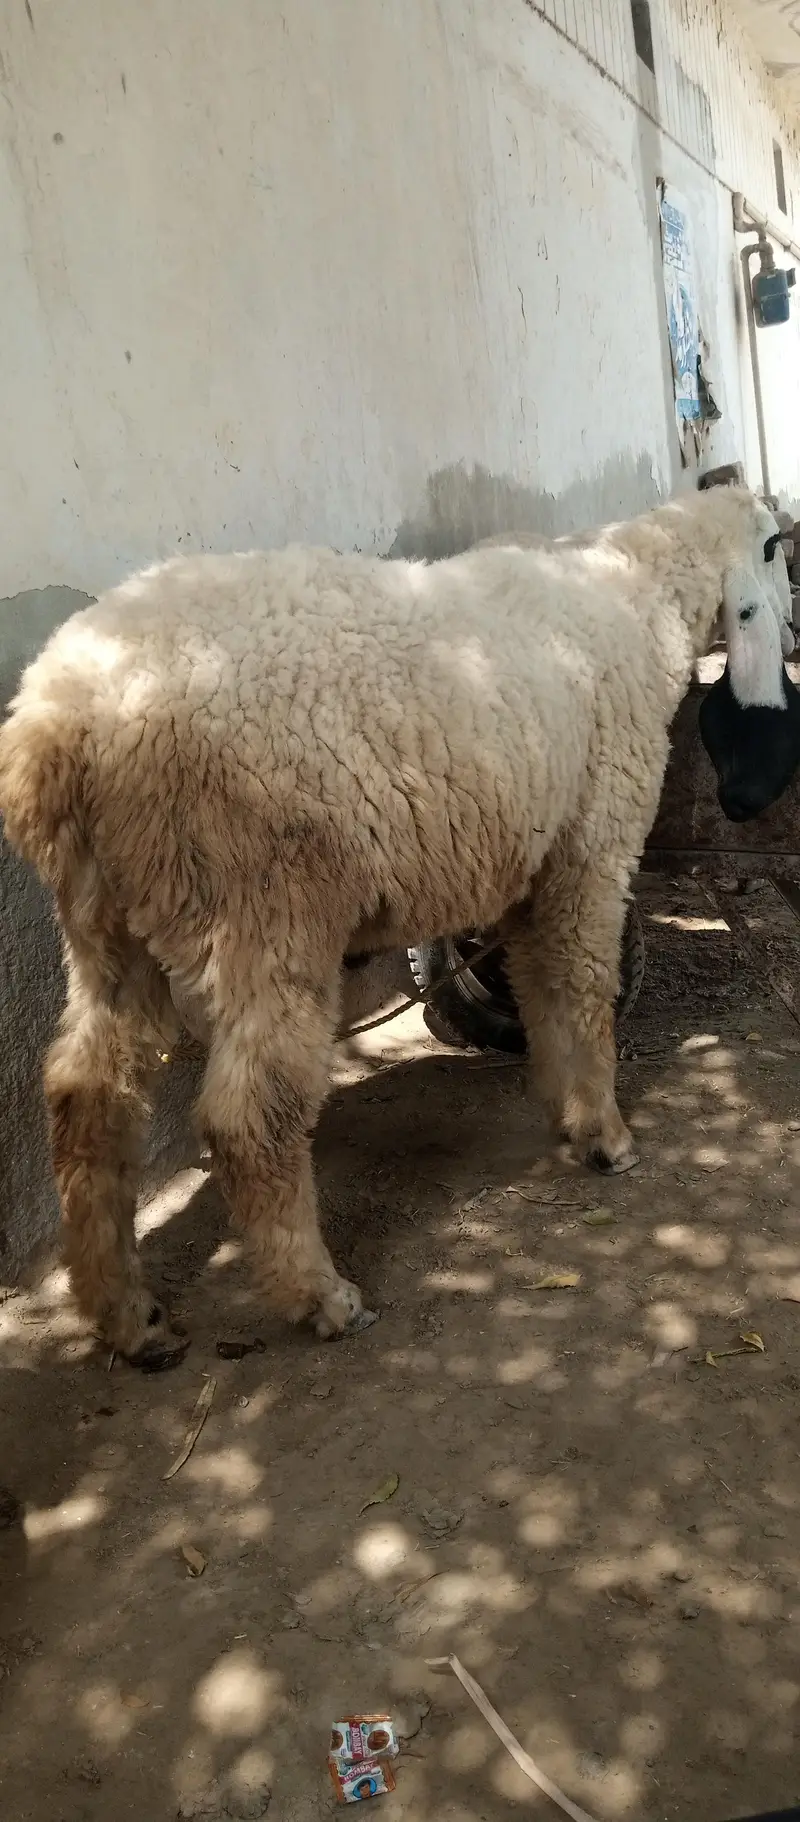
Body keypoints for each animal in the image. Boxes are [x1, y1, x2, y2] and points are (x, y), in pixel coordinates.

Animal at [0, 485, 794, 1369]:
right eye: (775, 550)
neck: (634, 594)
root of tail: (55, 729)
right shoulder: (592, 846)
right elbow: (586, 990)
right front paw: (606, 1137)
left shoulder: (529, 862)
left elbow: (541, 990)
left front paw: (563, 1109)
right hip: (262, 906)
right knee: (249, 1118)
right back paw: (320, 1296)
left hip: (109, 919)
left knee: (87, 1093)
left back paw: (127, 1314)